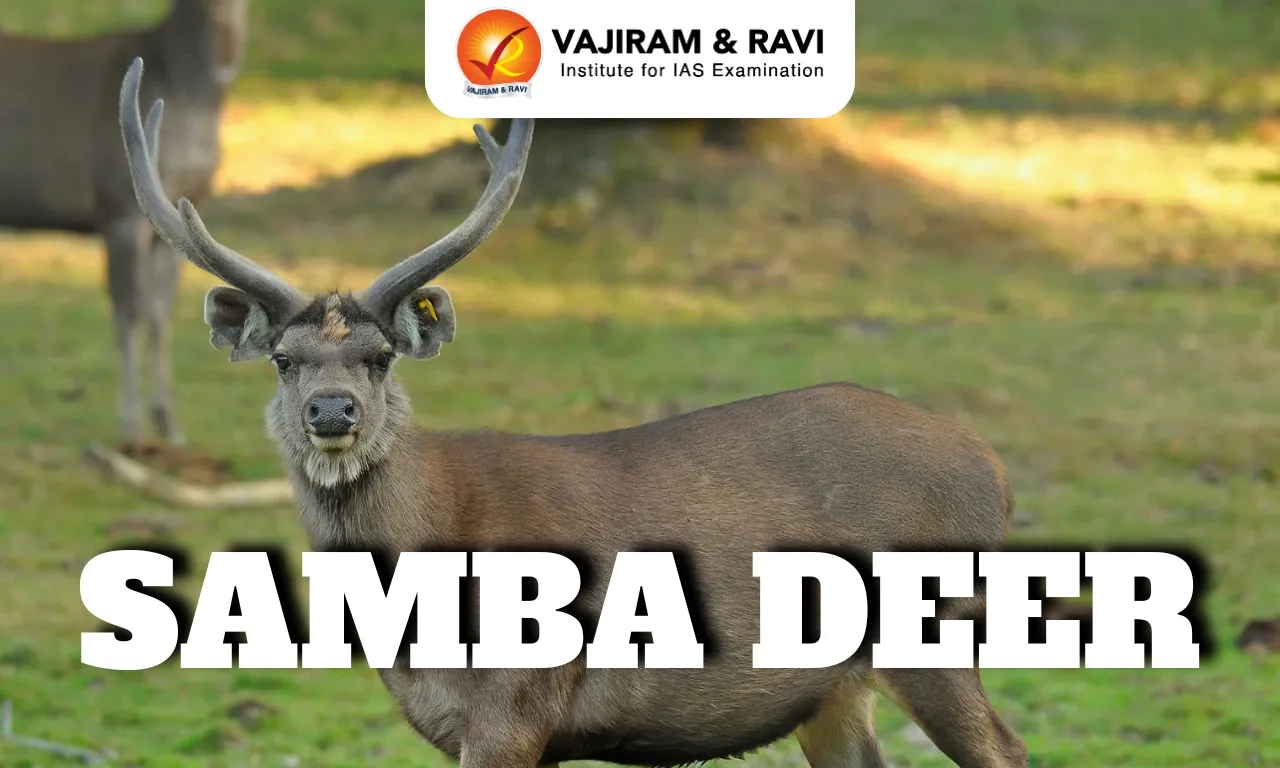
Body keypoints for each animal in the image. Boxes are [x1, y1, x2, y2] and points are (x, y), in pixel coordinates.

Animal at [0, 0, 248, 448]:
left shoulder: (176, 221)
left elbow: (160, 313)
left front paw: (169, 424)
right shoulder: (119, 206)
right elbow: (129, 312)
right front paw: (131, 427)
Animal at [116, 56, 1030, 768]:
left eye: (379, 357)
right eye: (284, 359)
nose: (332, 411)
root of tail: (996, 469)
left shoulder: (516, 705)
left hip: (933, 629)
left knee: (1006, 746)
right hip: (833, 690)